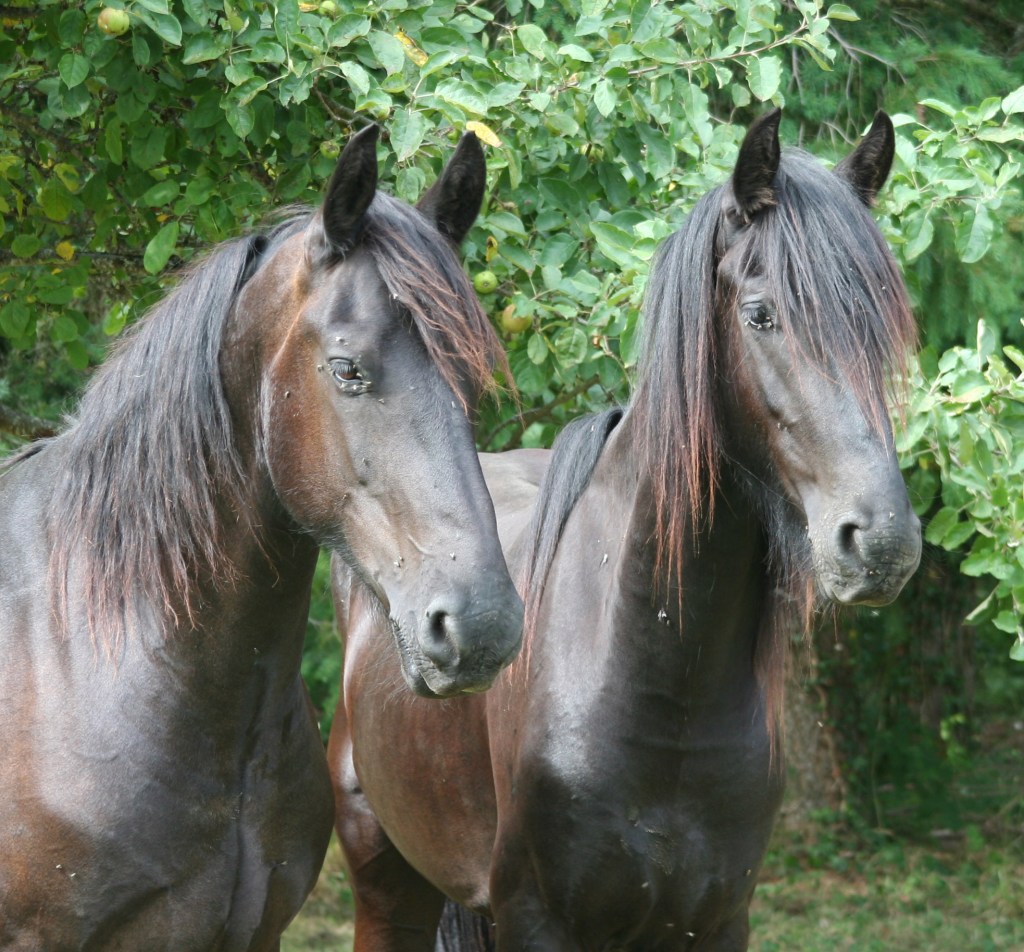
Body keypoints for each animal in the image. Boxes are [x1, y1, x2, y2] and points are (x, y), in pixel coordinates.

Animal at [328, 109, 922, 951]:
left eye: (884, 329)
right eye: (761, 315)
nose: (881, 542)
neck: (663, 684)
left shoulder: (718, 920)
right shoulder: (536, 918)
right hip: (383, 880)